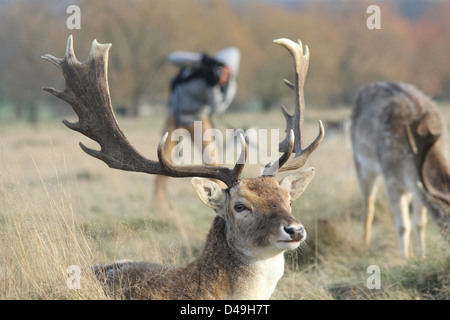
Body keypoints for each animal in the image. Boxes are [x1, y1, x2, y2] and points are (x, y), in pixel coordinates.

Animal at [352, 81, 450, 258]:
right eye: (445, 218)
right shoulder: (391, 180)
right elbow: (403, 226)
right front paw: (405, 258)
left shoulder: (417, 186)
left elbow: (419, 223)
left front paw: (421, 256)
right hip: (360, 162)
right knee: (368, 206)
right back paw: (365, 245)